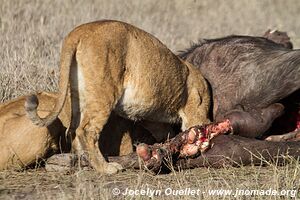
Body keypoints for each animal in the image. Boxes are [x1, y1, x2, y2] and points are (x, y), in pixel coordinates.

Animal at [24, 19, 210, 173]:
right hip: (104, 92)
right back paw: (105, 168)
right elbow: (195, 127)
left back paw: (82, 162)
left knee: (73, 129)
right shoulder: (195, 110)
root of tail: (78, 32)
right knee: (87, 130)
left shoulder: (150, 117)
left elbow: (163, 130)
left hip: (78, 94)